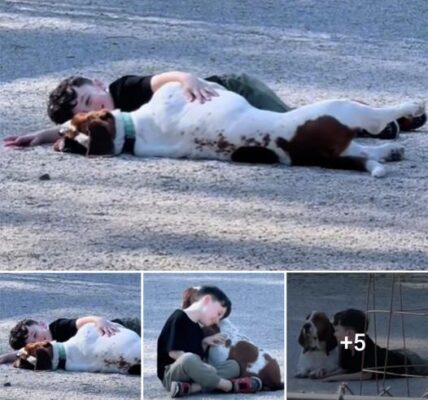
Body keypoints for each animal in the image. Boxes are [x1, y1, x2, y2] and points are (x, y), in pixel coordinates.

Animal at [56, 79, 424, 177]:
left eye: (70, 130)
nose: (58, 135)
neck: (131, 132)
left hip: (346, 142)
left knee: (370, 151)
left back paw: (391, 150)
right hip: (341, 109)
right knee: (378, 118)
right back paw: (411, 107)